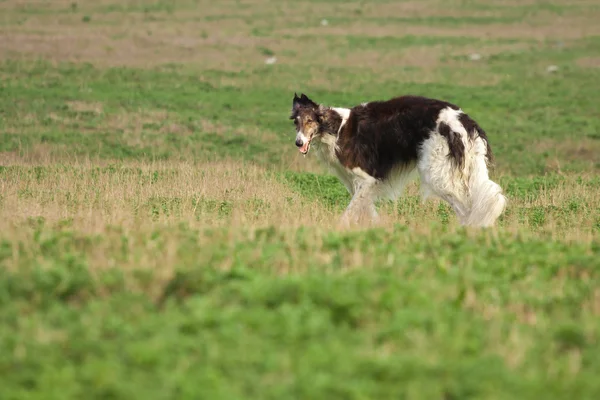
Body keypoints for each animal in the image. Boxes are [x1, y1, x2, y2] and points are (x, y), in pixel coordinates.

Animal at [290, 92, 506, 227]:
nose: (298, 142)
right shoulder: (358, 184)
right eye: (296, 122)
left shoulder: (367, 178)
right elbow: (367, 210)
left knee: (466, 210)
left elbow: (349, 211)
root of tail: (464, 121)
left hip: (436, 174)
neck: (335, 128)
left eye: (310, 121)